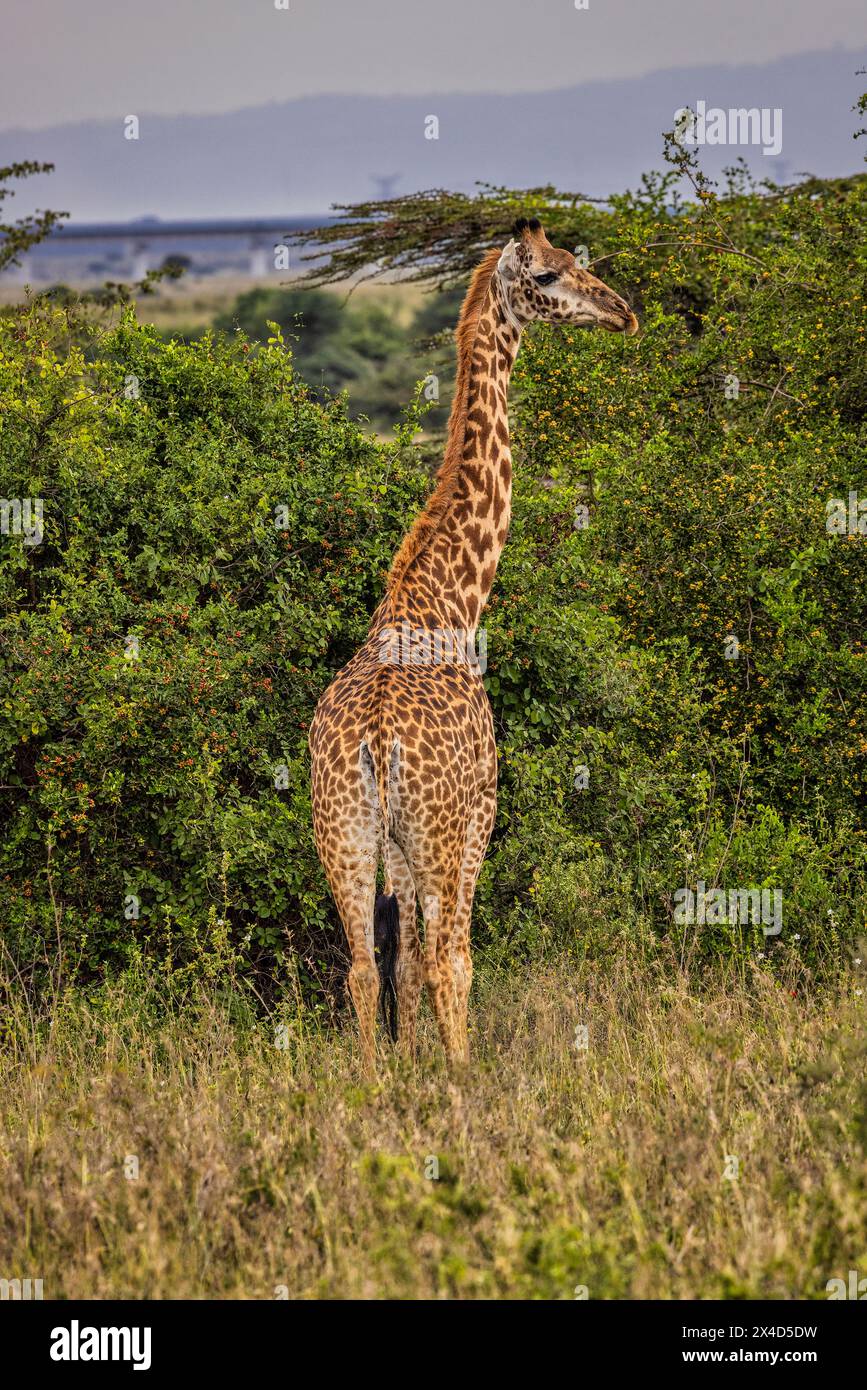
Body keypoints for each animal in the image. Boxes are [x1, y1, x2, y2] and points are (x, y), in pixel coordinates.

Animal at [311, 216, 636, 1067]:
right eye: (549, 275)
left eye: (574, 261)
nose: (621, 312)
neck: (451, 601)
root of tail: (374, 740)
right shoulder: (481, 807)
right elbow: (447, 962)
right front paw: (447, 1073)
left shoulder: (393, 848)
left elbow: (394, 969)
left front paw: (408, 1070)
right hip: (438, 830)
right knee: (445, 959)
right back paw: (463, 1079)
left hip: (342, 834)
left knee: (361, 967)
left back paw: (368, 1082)